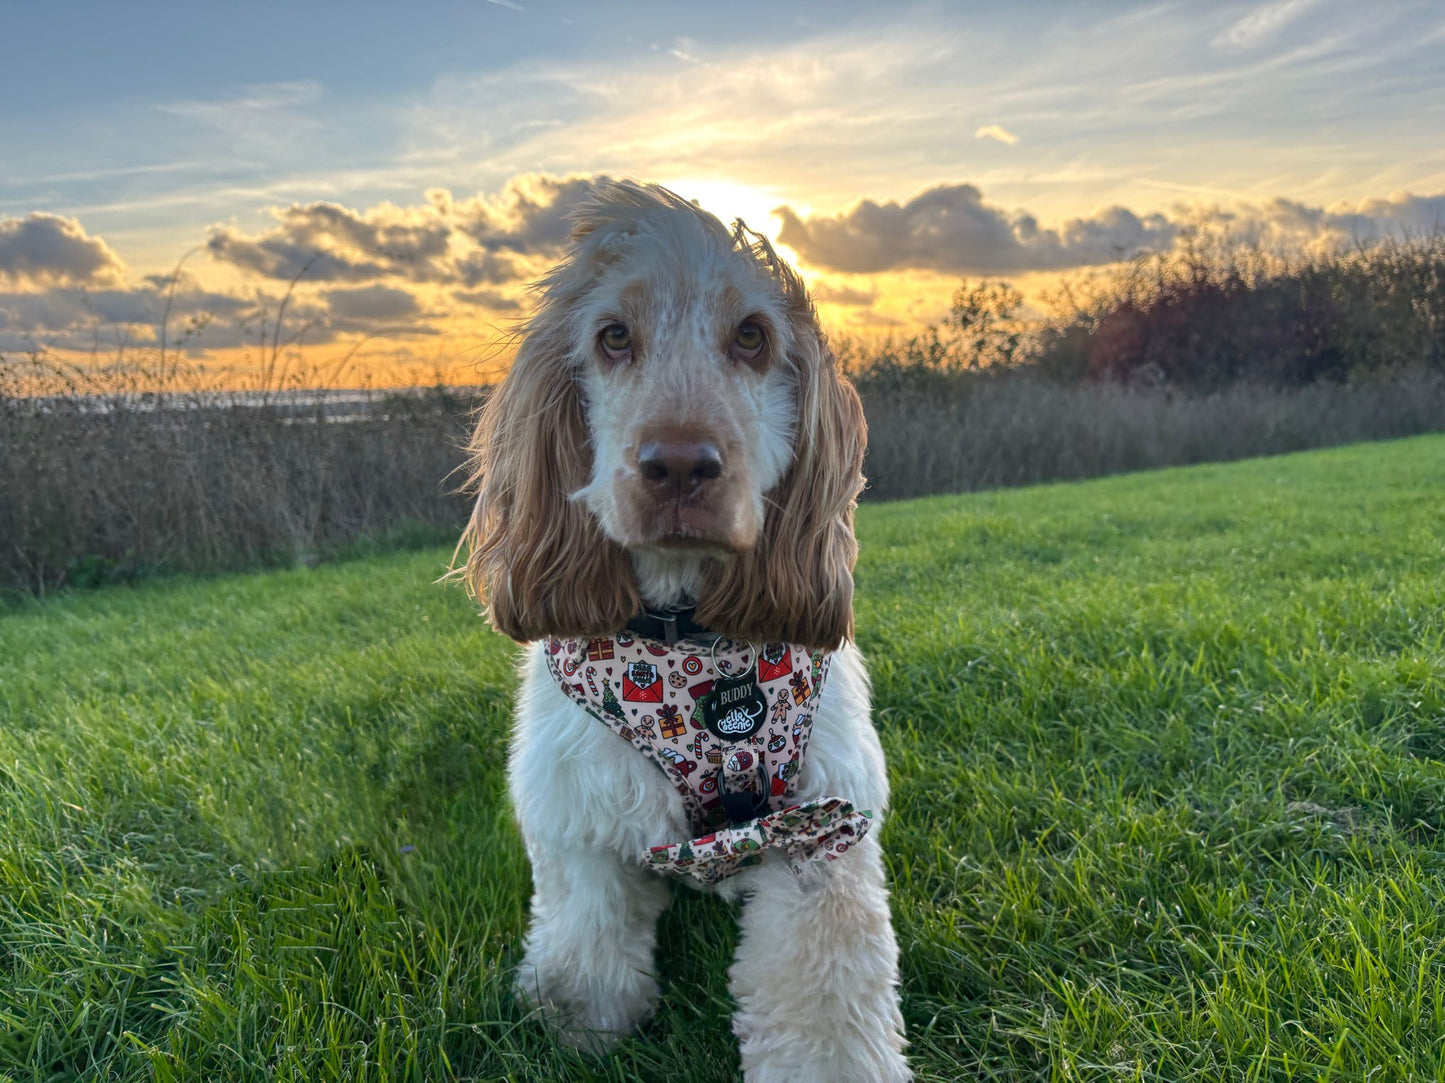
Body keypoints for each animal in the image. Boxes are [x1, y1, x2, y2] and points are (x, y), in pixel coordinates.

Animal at [456, 179, 907, 1081]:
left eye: (752, 335)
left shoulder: (821, 826)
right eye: (613, 336)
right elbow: (585, 942)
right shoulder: (579, 815)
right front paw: (581, 1031)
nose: (677, 466)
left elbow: (827, 1004)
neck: (688, 649)